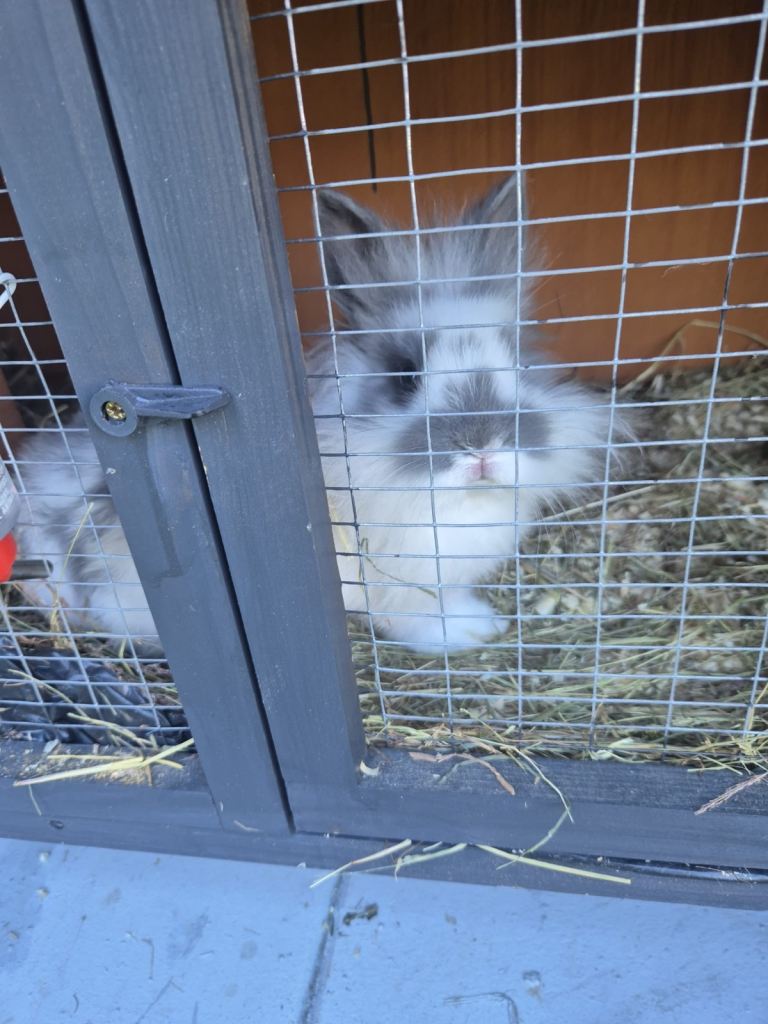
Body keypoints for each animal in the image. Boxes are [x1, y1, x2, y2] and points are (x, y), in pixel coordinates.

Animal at [308, 175, 624, 651]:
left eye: (520, 363)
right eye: (405, 375)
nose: (481, 444)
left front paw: (485, 623)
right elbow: (415, 618)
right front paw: (466, 632)